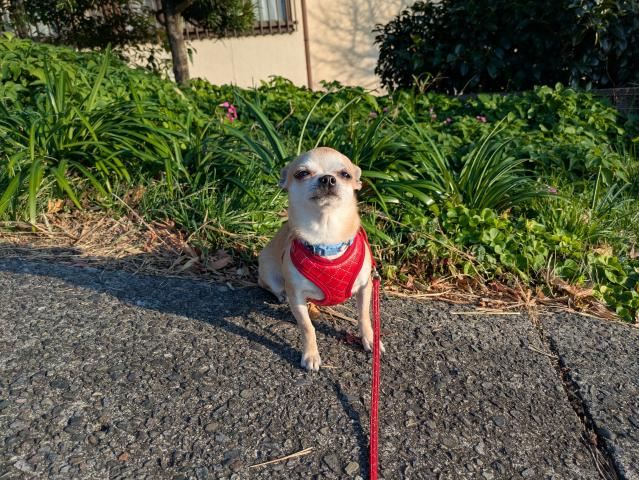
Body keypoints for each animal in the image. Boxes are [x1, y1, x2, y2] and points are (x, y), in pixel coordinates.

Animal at [258, 147, 384, 371]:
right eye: (302, 173)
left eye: (345, 174)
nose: (327, 178)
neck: (326, 237)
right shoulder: (297, 297)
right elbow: (307, 327)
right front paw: (311, 355)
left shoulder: (365, 287)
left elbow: (364, 317)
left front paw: (371, 339)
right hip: (269, 271)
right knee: (272, 285)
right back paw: (280, 294)